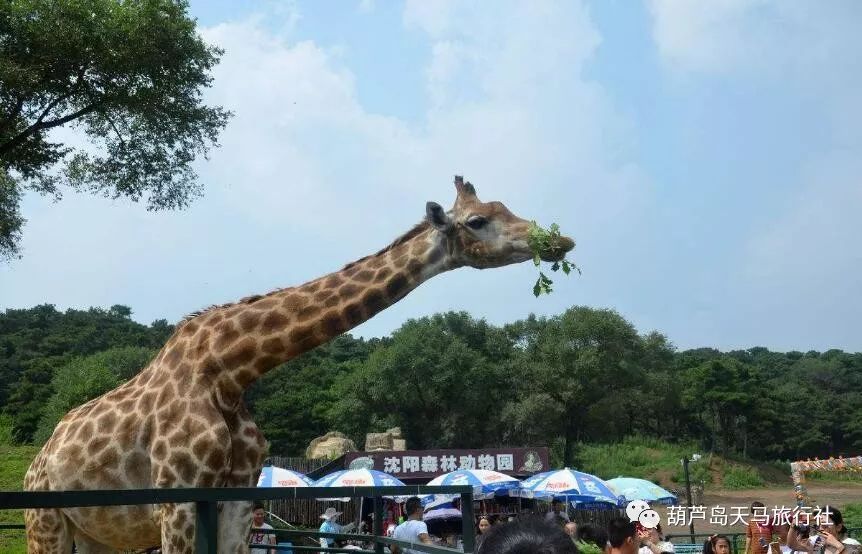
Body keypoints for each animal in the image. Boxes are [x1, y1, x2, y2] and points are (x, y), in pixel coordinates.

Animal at [23, 176, 572, 548]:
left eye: (505, 204)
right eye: (478, 221)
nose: (558, 239)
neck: (230, 371)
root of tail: (37, 462)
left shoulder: (235, 501)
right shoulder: (175, 500)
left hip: (98, 534)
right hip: (44, 522)